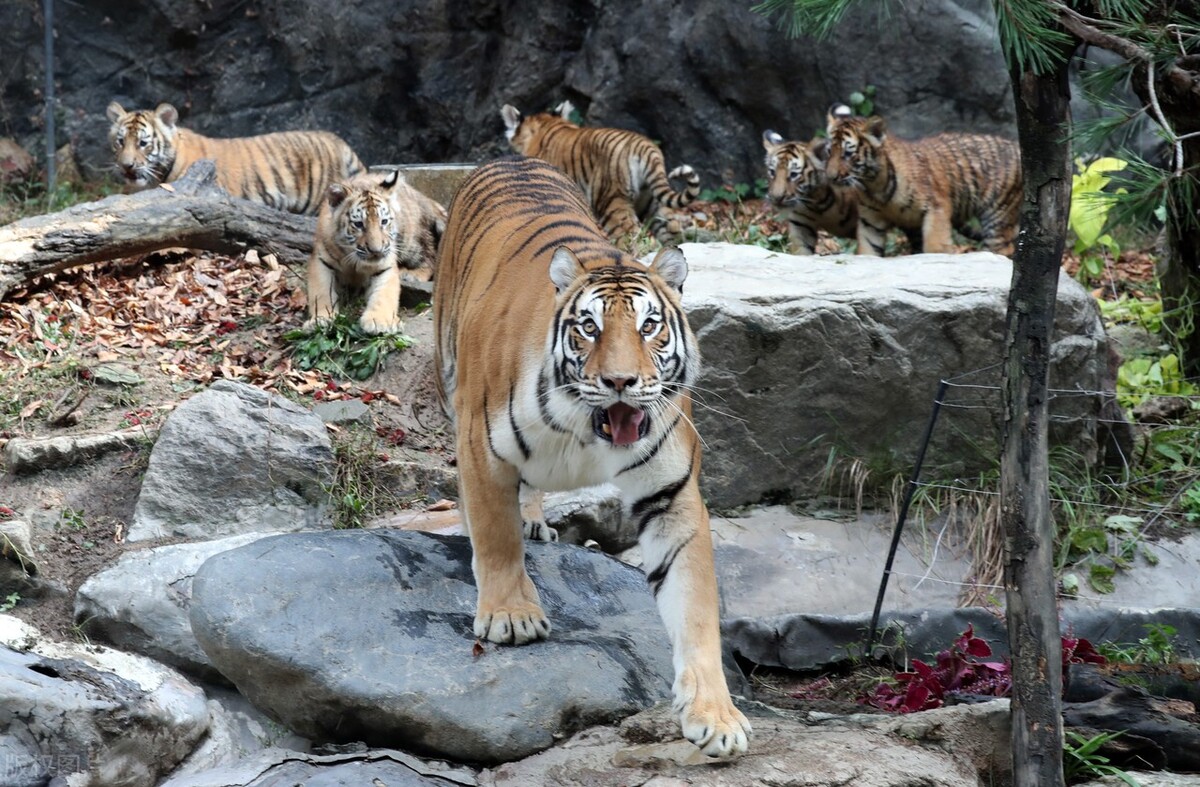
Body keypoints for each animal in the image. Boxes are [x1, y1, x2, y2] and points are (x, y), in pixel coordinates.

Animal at [304, 169, 446, 331]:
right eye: (358, 224)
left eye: (383, 222)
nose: (376, 250)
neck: (354, 260)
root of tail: (424, 197)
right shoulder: (320, 261)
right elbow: (321, 292)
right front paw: (320, 320)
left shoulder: (386, 266)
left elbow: (384, 294)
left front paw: (379, 322)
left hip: (410, 239)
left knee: (430, 256)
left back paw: (411, 274)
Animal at [432, 157, 748, 758]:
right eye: (589, 327)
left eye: (648, 326)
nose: (620, 381)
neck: (585, 430)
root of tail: (509, 158)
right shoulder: (481, 446)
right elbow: (495, 535)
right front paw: (510, 615)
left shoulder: (671, 494)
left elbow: (695, 606)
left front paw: (716, 716)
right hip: (448, 372)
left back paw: (533, 519)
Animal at [499, 103, 700, 247]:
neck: (545, 125)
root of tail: (645, 145)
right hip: (653, 204)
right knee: (673, 234)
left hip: (611, 203)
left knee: (631, 238)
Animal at [825, 103, 1022, 256]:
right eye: (829, 151)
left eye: (847, 154)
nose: (830, 176)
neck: (874, 185)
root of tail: (1016, 146)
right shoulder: (870, 223)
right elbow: (868, 251)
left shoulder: (937, 207)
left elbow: (935, 246)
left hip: (998, 217)